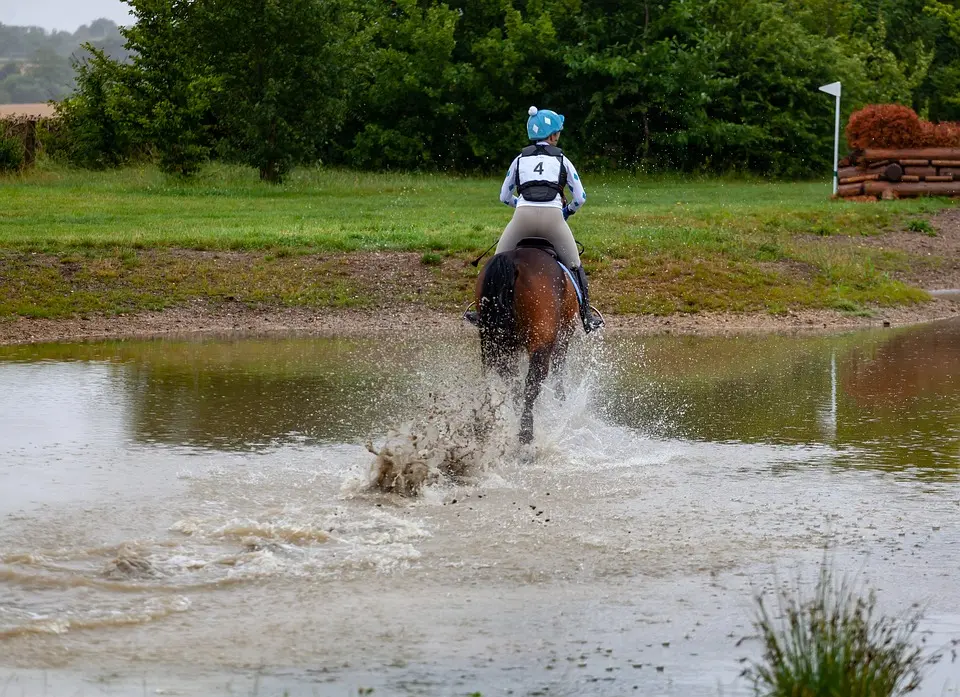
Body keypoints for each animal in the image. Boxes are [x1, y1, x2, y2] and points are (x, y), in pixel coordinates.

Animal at [474, 239, 580, 444]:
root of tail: (514, 261)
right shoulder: (563, 337)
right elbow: (558, 370)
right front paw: (561, 402)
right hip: (541, 341)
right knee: (531, 384)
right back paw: (526, 432)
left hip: (496, 342)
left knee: (510, 380)